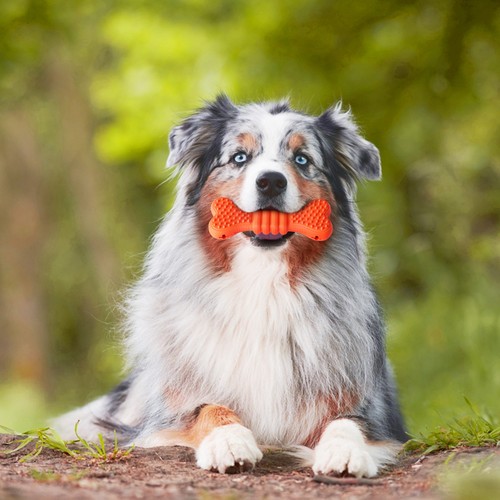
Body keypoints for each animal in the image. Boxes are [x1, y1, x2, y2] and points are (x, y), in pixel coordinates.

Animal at [53, 94, 406, 480]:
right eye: (239, 157)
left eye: (302, 159)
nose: (271, 182)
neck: (263, 283)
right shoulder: (167, 413)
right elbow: (208, 409)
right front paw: (230, 442)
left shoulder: (370, 409)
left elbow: (348, 422)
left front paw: (344, 451)